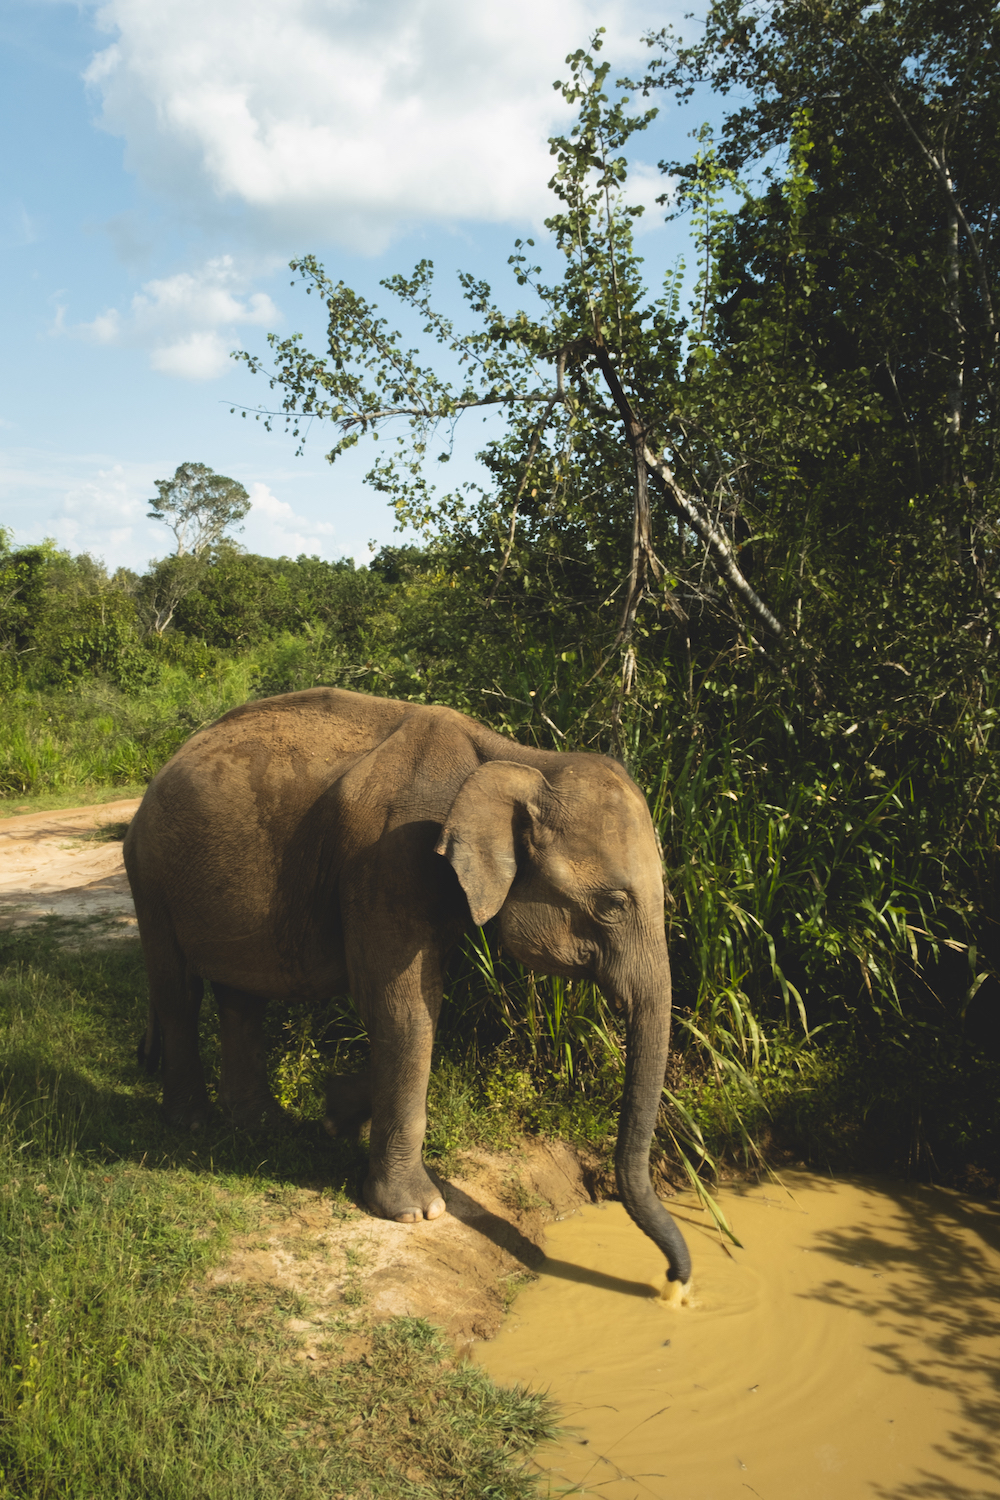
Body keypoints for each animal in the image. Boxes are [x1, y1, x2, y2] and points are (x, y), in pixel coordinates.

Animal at [122, 687, 689, 1284]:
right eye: (612, 904)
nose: (675, 1281)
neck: (521, 760)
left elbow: (412, 1008)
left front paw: (335, 1113)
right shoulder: (385, 861)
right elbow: (405, 1009)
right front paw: (416, 1212)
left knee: (241, 995)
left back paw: (259, 1125)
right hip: (150, 873)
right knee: (179, 991)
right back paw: (192, 1123)